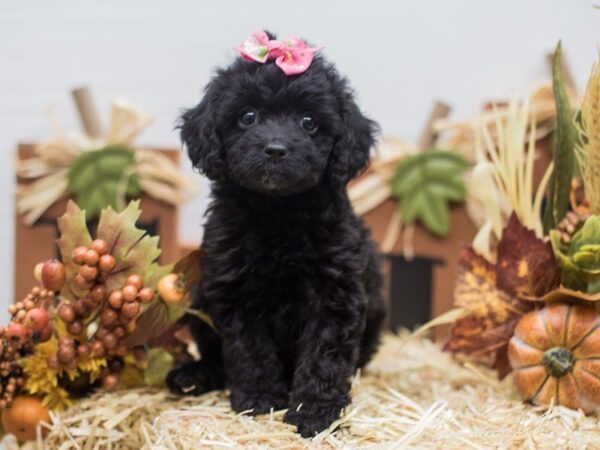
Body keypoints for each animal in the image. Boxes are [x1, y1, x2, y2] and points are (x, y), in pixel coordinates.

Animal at [166, 32, 386, 440]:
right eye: (247, 117)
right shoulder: (235, 289)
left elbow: (324, 355)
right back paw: (192, 375)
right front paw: (259, 400)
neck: (278, 212)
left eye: (309, 122)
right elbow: (249, 349)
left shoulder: (334, 292)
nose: (275, 150)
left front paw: (314, 413)